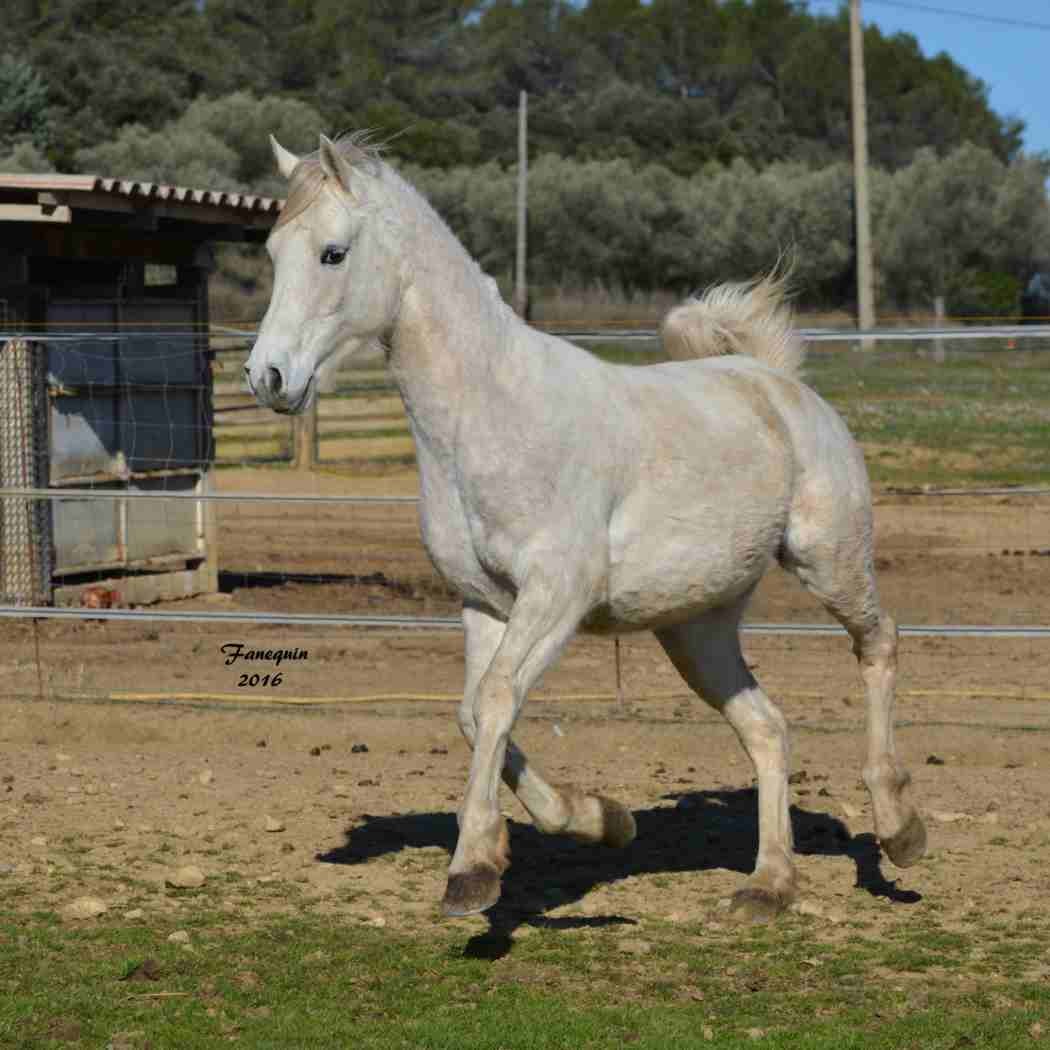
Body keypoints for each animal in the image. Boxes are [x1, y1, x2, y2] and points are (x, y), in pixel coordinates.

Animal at [241, 133, 923, 919]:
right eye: (272, 250)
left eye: (333, 253)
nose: (267, 378)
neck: (489, 416)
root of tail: (776, 380)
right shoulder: (483, 605)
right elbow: (475, 713)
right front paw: (600, 821)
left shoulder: (556, 596)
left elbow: (498, 699)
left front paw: (472, 870)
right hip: (696, 629)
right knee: (769, 731)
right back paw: (768, 885)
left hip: (828, 561)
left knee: (878, 645)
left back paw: (899, 829)